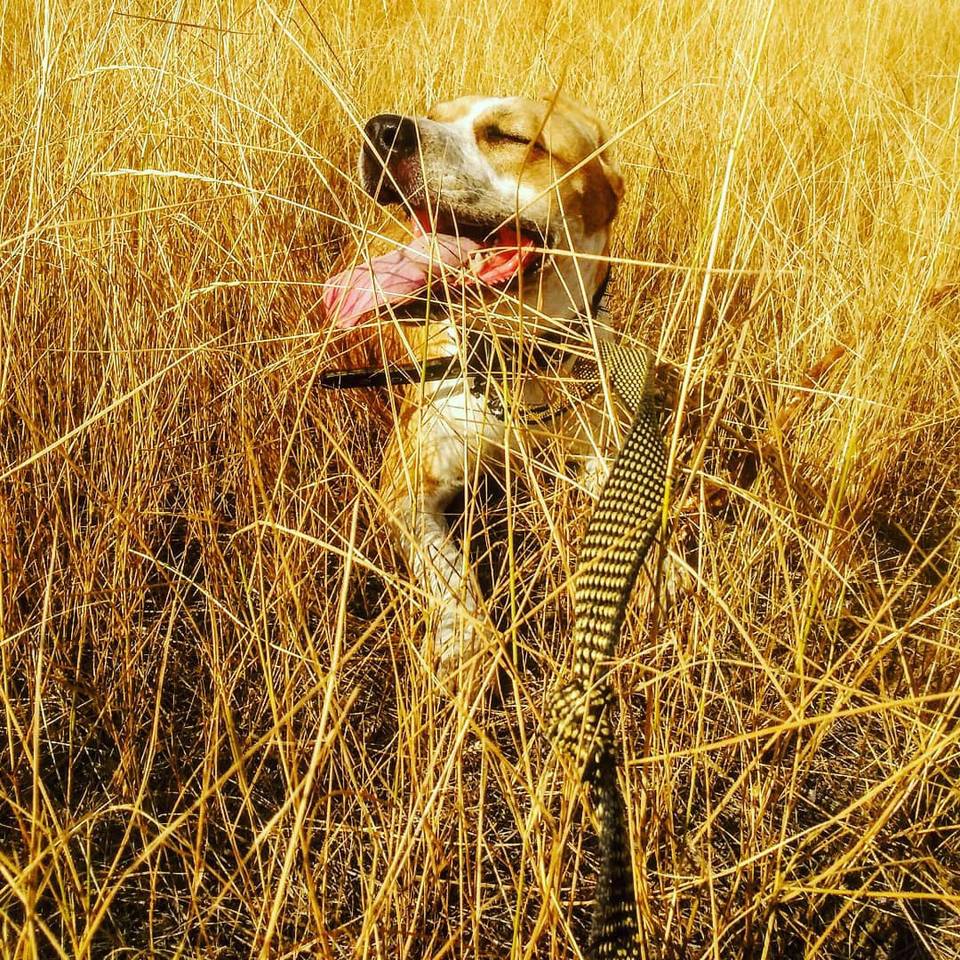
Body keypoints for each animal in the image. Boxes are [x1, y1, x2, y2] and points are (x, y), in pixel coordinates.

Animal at [318, 95, 628, 684]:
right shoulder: (406, 488)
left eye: (513, 137)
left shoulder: (601, 441)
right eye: (435, 113)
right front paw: (464, 633)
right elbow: (448, 570)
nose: (383, 130)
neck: (513, 359)